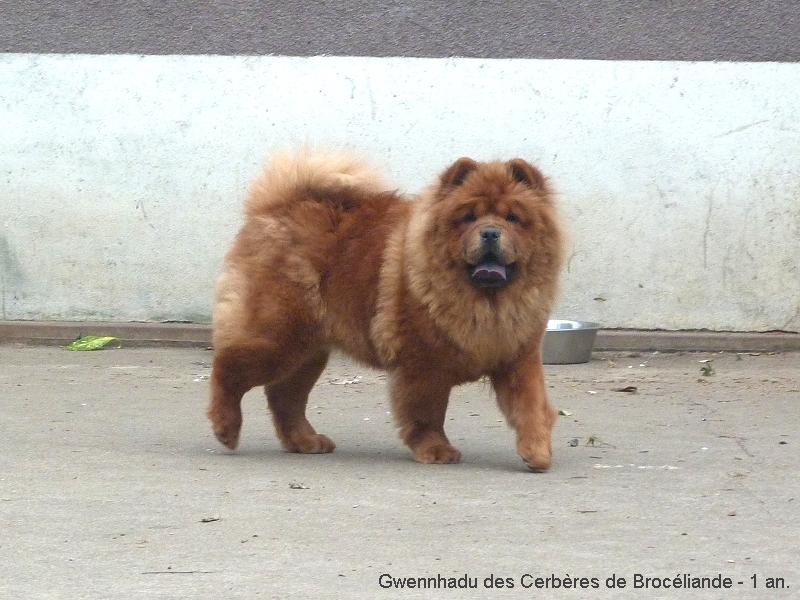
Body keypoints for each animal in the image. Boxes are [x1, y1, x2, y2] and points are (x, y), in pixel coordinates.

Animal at [209, 149, 564, 468]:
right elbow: (427, 413)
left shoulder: (518, 357)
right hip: (278, 337)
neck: (485, 303)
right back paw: (226, 428)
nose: (490, 232)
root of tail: (273, 208)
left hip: (308, 351)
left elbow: (530, 406)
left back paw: (306, 441)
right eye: (469, 218)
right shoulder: (422, 364)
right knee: (228, 368)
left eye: (513, 218)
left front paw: (537, 452)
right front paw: (436, 450)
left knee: (285, 396)